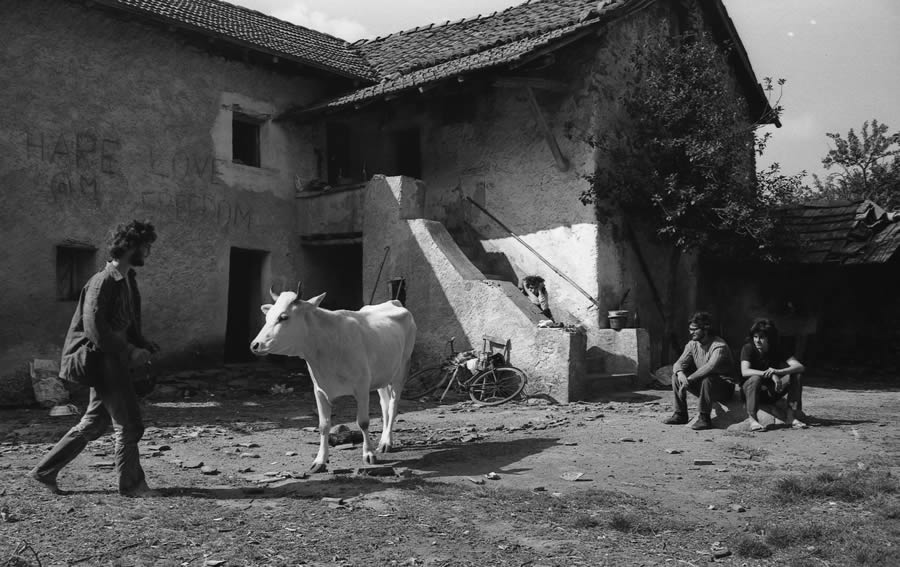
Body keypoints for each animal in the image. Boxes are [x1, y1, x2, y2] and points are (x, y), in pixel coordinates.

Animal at [251, 284, 416, 474]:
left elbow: (363, 422)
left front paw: (368, 454)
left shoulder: (361, 387)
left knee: (393, 405)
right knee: (385, 405)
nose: (255, 345)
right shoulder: (319, 389)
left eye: (283, 317)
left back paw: (387, 442)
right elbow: (323, 426)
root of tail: (393, 302)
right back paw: (383, 440)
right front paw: (320, 460)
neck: (325, 347)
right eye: (267, 317)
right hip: (383, 375)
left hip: (402, 369)